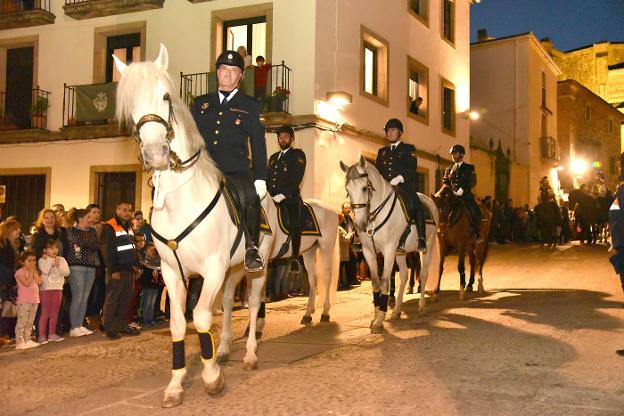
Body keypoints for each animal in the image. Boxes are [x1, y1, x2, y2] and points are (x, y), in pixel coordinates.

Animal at [342, 157, 438, 334]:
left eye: (365, 188)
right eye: (347, 189)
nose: (359, 224)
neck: (374, 215)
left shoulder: (388, 251)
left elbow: (385, 282)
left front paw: (380, 319)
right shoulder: (369, 252)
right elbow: (375, 283)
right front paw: (375, 317)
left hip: (427, 246)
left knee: (423, 274)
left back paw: (421, 307)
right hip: (400, 252)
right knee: (404, 276)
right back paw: (397, 310)